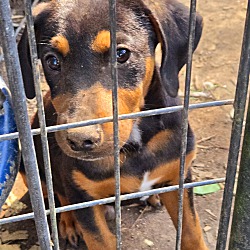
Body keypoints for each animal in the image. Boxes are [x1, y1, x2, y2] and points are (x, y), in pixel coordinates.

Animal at [18, 0, 207, 249]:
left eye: (122, 54)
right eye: (52, 61)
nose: (80, 140)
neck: (135, 144)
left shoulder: (180, 178)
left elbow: (192, 233)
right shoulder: (84, 202)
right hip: (31, 170)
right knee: (57, 195)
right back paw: (69, 223)